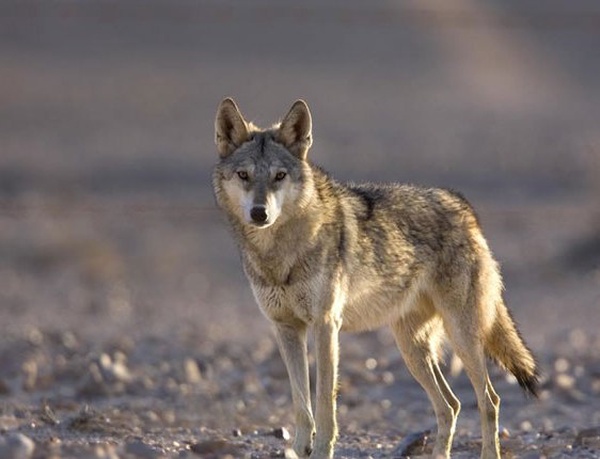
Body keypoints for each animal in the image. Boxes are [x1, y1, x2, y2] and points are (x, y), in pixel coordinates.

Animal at [211, 99, 540, 459]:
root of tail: (462, 207)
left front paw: (322, 450)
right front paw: (299, 449)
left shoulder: (326, 326)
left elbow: (324, 403)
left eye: (279, 176)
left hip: (461, 338)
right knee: (451, 405)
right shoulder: (285, 329)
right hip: (411, 349)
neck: (278, 253)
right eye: (244, 175)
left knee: (489, 400)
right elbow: (301, 404)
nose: (260, 213)